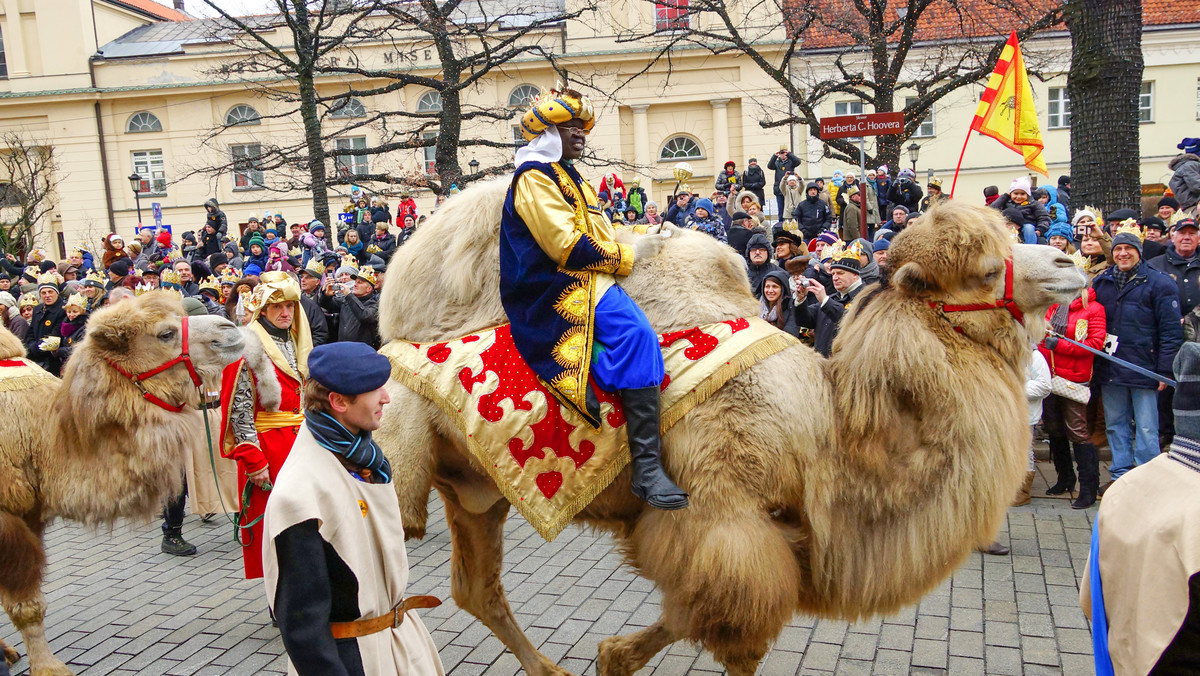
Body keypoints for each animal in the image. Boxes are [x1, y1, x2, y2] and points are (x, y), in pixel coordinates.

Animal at [0, 291, 243, 676]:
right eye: (165, 334)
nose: (229, 328)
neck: (40, 434)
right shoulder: (9, 518)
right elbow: (23, 602)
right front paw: (48, 667)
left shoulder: (31, 512)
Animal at [376, 177, 1089, 672]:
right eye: (987, 271)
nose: (1071, 263)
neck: (829, 427)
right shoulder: (724, 517)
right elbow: (730, 623)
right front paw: (616, 656)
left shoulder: (766, 533)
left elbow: (688, 618)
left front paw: (610, 657)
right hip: (399, 455)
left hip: (476, 487)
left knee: (476, 589)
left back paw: (549, 670)